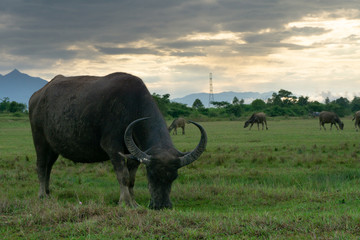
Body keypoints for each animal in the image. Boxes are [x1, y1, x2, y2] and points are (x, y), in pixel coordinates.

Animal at [29, 71, 207, 210]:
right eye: (151, 175)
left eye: (174, 177)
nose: (162, 205)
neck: (132, 107)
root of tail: (37, 96)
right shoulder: (113, 148)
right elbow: (123, 176)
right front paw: (125, 202)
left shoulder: (135, 153)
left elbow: (132, 179)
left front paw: (134, 202)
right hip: (40, 141)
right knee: (41, 166)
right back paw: (41, 195)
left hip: (53, 148)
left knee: (49, 167)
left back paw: (48, 192)